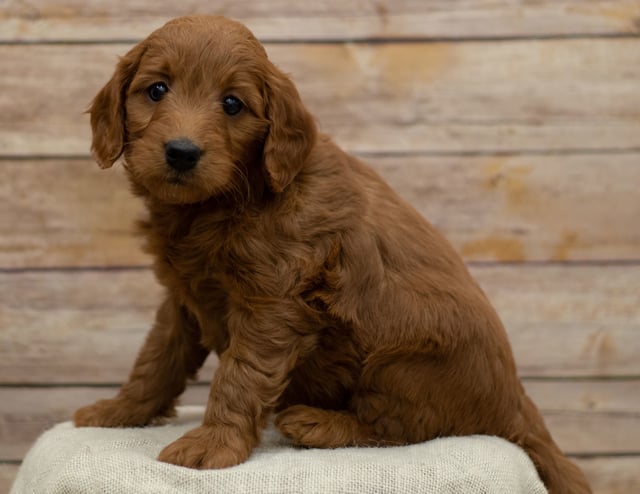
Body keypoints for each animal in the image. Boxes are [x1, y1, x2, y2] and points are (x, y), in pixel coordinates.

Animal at [74, 15, 592, 494]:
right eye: (156, 89)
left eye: (232, 104)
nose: (182, 152)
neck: (229, 200)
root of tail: (517, 403)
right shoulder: (185, 298)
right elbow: (156, 359)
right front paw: (120, 410)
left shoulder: (275, 304)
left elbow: (240, 375)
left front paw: (213, 443)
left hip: (402, 365)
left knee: (400, 429)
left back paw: (318, 424)